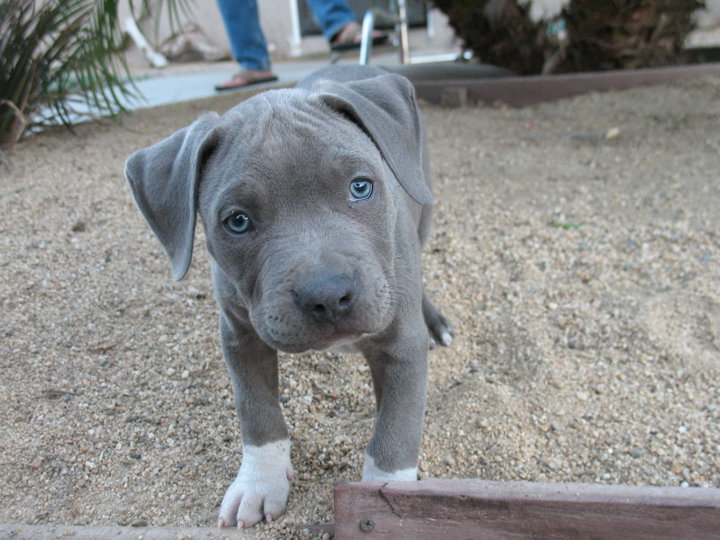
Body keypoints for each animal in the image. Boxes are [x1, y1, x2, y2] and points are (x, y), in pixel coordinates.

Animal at [124, 65, 450, 528]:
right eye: (237, 221)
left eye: (361, 187)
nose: (328, 296)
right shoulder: (240, 337)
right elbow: (257, 413)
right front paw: (260, 484)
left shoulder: (402, 342)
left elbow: (394, 436)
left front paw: (388, 503)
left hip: (422, 210)